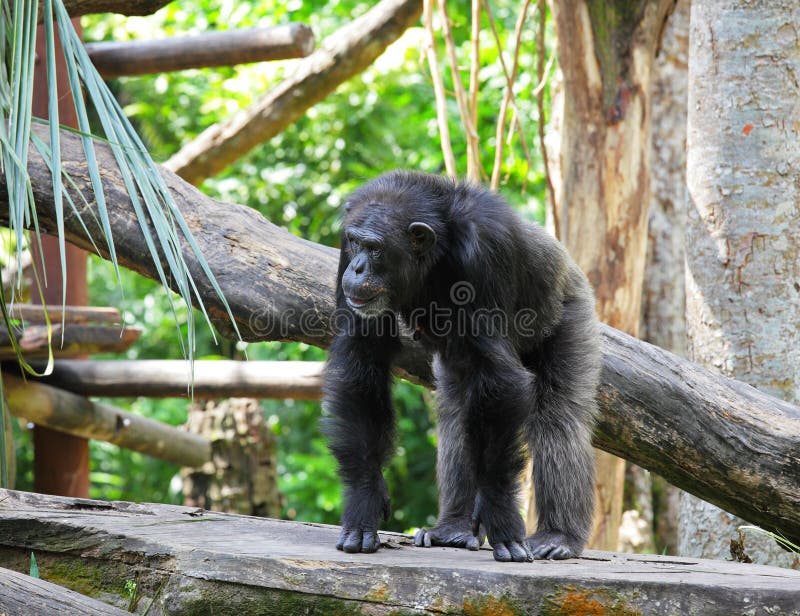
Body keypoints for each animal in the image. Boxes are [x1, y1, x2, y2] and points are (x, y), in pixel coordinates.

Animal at [322, 171, 596, 560]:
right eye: (355, 242)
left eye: (374, 248)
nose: (357, 268)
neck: (436, 253)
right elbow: (362, 360)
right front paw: (365, 500)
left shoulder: (487, 251)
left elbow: (499, 378)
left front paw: (499, 512)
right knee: (455, 413)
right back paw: (452, 528)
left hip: (572, 311)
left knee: (559, 417)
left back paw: (559, 536)